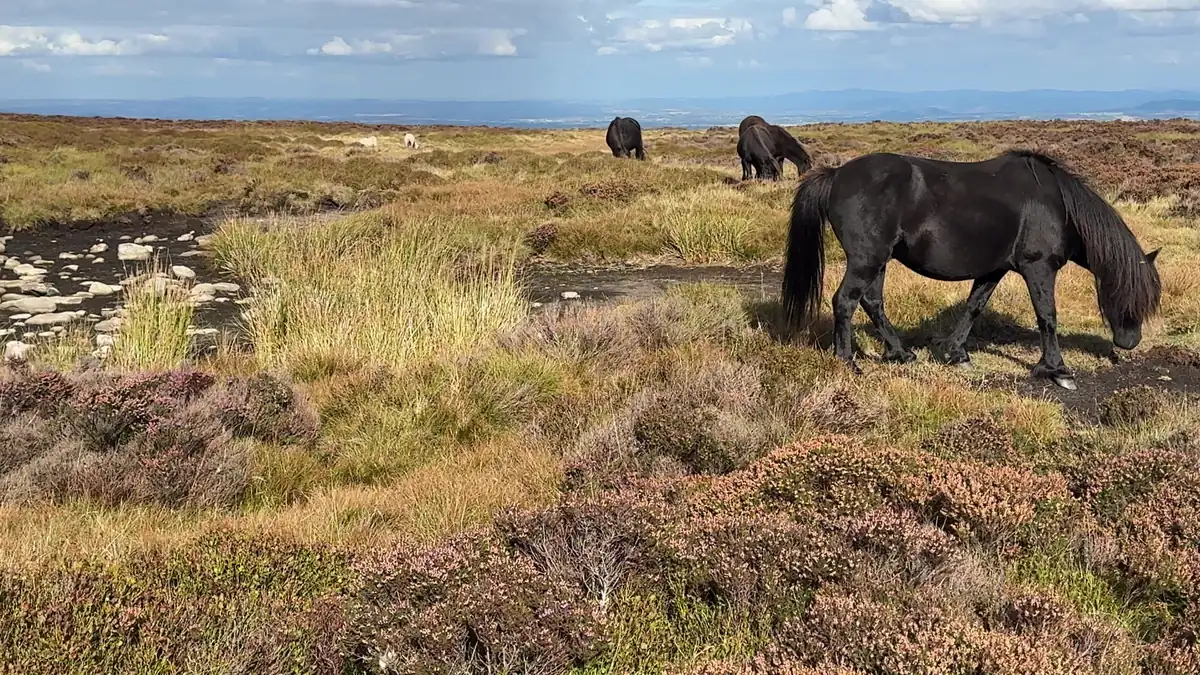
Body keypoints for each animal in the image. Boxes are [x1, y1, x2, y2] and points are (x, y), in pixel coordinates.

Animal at [780, 149, 1162, 391]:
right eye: (1130, 296)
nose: (1129, 342)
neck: (1057, 205)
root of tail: (836, 174)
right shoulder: (1037, 268)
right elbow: (1047, 316)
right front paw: (1056, 370)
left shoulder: (993, 270)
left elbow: (974, 307)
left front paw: (955, 352)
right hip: (867, 260)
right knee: (845, 302)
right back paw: (847, 362)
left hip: (878, 262)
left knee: (872, 303)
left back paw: (900, 353)